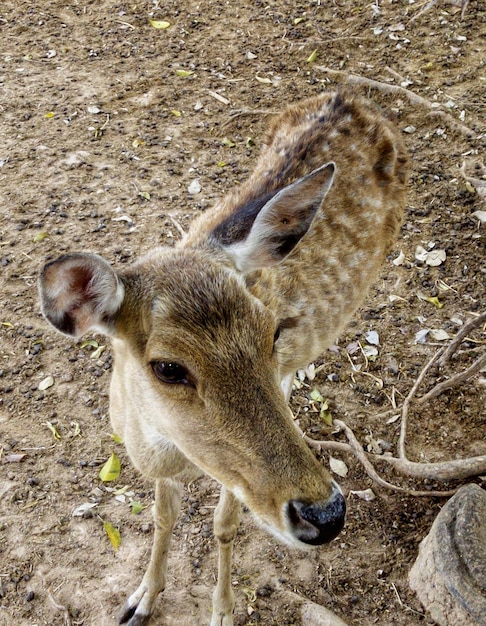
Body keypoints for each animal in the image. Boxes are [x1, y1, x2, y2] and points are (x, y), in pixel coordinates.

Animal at [39, 89, 408, 624]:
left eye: (273, 331)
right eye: (168, 367)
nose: (325, 515)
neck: (163, 452)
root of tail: (355, 98)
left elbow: (223, 524)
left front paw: (223, 611)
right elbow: (162, 515)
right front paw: (139, 600)